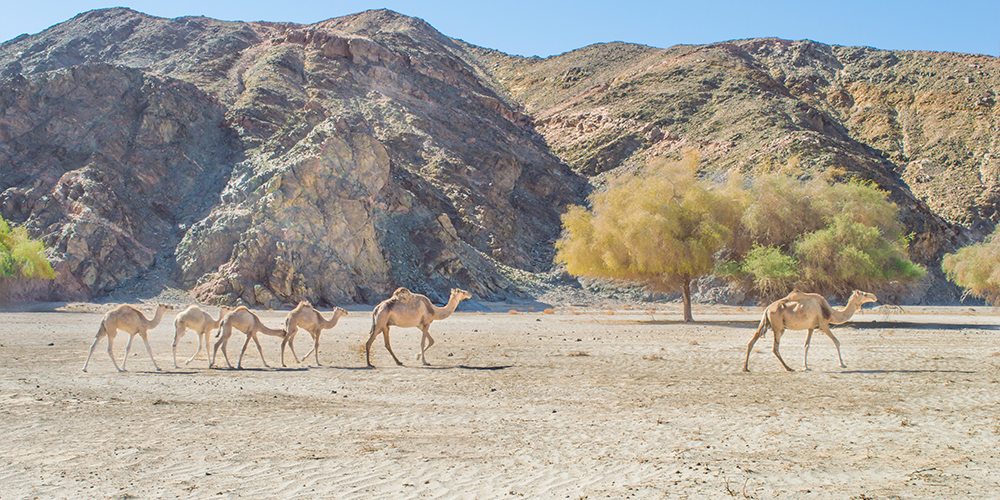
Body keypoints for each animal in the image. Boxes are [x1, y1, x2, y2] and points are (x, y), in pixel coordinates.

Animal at [744, 288, 876, 374]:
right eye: (864, 294)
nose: (874, 297)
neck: (830, 312)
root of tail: (767, 308)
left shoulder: (811, 327)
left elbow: (806, 345)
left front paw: (805, 367)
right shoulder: (823, 325)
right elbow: (836, 341)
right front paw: (842, 364)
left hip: (766, 322)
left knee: (752, 341)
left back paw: (745, 368)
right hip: (778, 326)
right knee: (775, 348)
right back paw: (789, 368)